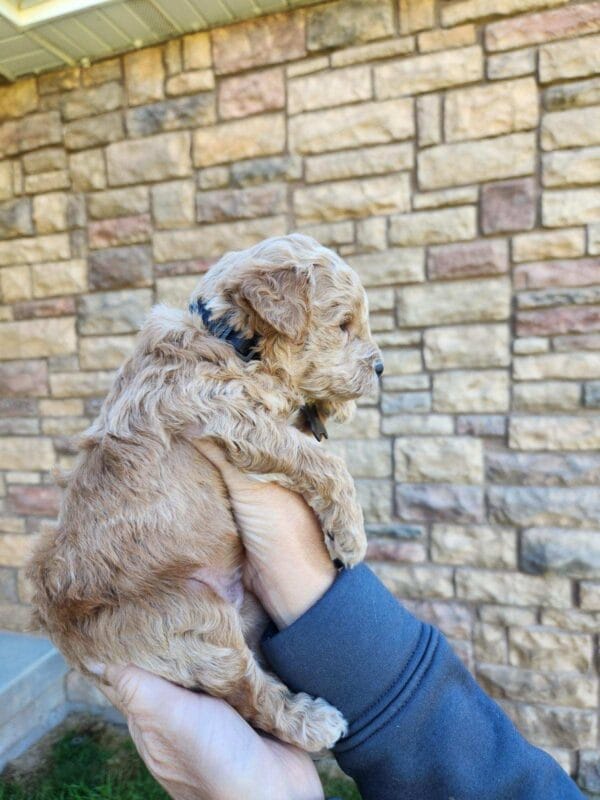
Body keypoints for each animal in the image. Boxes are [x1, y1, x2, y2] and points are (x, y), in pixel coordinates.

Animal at [27, 231, 380, 752]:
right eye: (343, 324)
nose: (381, 367)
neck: (227, 337)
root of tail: (64, 637)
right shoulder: (226, 416)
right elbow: (324, 462)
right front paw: (351, 535)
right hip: (190, 616)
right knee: (248, 693)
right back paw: (311, 722)